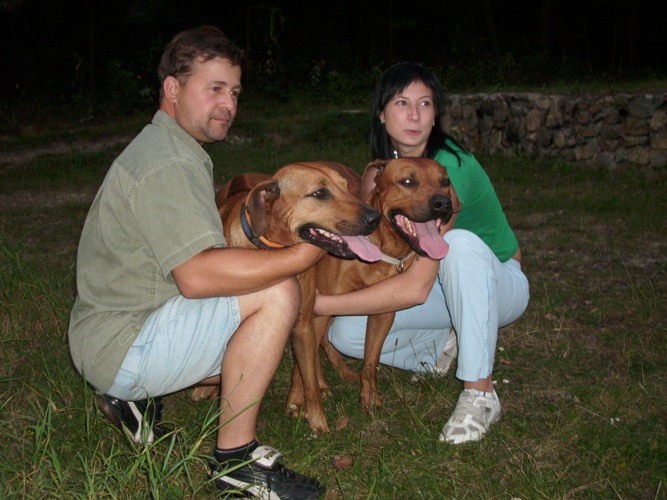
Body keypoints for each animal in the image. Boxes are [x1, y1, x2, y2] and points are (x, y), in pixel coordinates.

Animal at [192, 161, 382, 433]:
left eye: (346, 187)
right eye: (319, 193)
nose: (376, 218)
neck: (276, 255)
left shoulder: (303, 325)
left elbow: (309, 380)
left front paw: (316, 419)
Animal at [312, 157, 454, 413]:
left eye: (445, 182)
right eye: (407, 181)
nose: (443, 203)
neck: (381, 247)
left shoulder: (382, 314)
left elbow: (371, 360)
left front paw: (369, 397)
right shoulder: (321, 307)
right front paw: (318, 389)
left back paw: (343, 371)